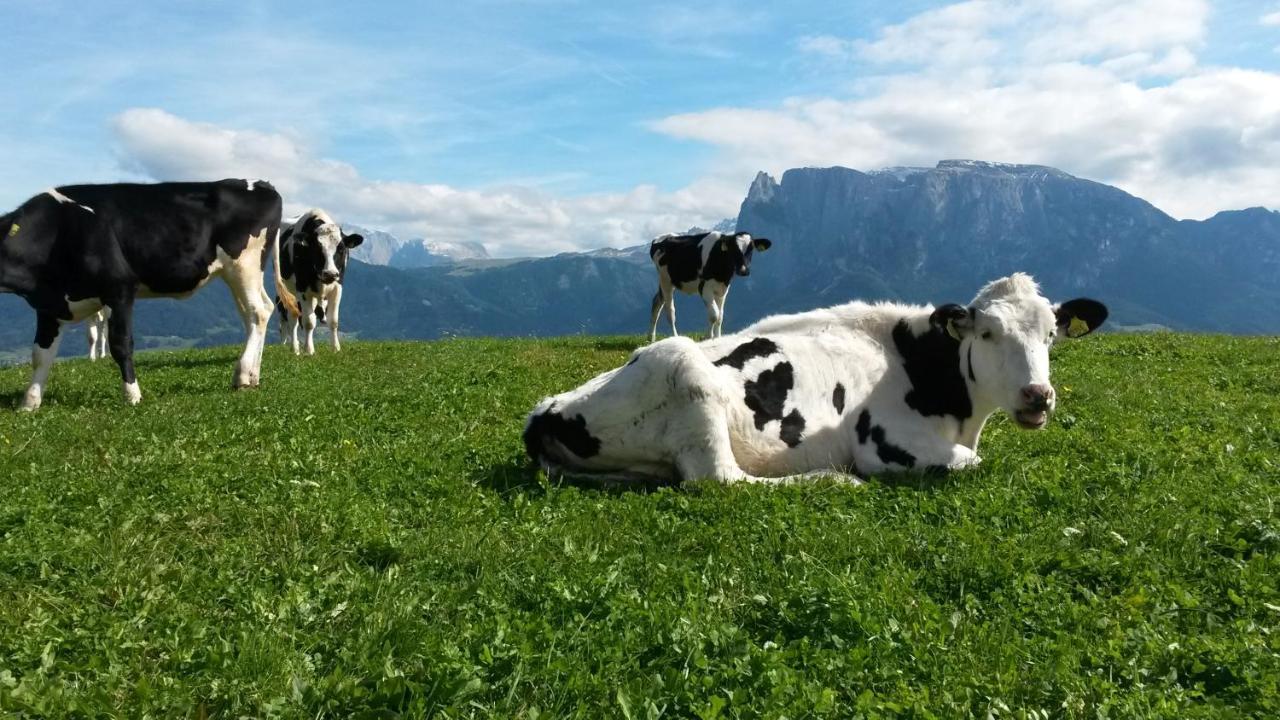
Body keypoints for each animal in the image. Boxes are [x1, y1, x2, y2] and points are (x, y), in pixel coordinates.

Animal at [0, 179, 296, 409]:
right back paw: (252, 374)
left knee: (257, 312)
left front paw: (132, 395)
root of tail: (262, 184)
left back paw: (243, 375)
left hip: (243, 265)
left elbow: (121, 344)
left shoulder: (119, 289)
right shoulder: (49, 306)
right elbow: (40, 354)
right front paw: (30, 402)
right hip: (236, 273)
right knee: (257, 313)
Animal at [275, 207, 363, 353]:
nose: (330, 273)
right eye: (317, 249)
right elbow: (309, 322)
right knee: (293, 319)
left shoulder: (338, 287)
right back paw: (295, 348)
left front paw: (335, 348)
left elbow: (333, 321)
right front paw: (309, 350)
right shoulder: (303, 289)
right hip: (288, 292)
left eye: (341, 249)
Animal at [529, 271, 1111, 484]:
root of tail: (545, 409)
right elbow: (969, 462)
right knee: (721, 479)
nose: (1038, 395)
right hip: (685, 370)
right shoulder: (889, 441)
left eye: (1052, 334)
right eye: (987, 333)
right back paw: (829, 478)